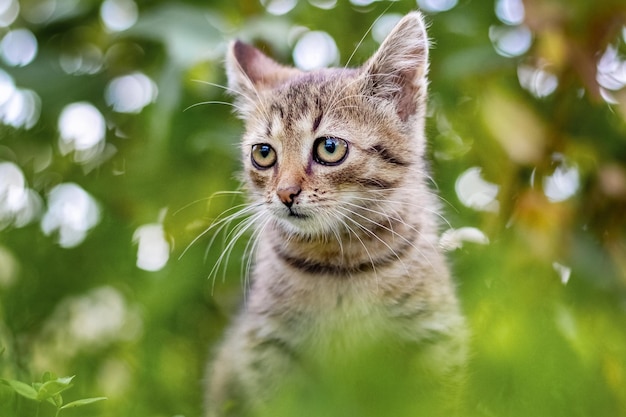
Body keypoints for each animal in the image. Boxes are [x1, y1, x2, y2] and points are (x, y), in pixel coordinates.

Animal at [207, 11, 466, 414]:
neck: (340, 262)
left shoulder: (433, 333)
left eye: (329, 148)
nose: (285, 193)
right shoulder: (265, 343)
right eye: (263, 153)